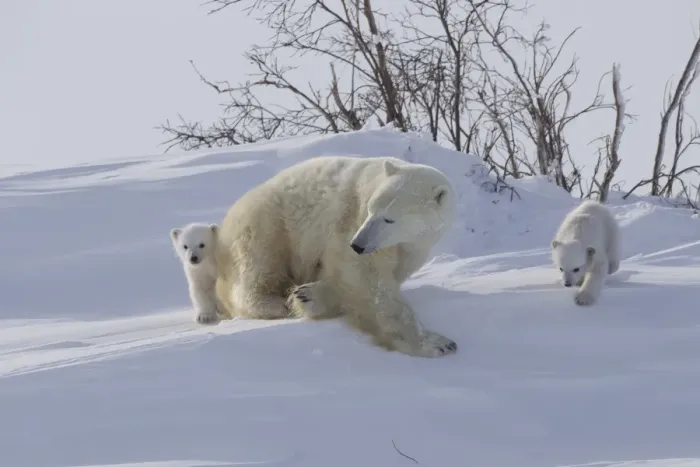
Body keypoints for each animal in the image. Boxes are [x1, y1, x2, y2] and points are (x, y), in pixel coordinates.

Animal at [213, 155, 458, 358]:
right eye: (371, 210)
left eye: (389, 219)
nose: (357, 245)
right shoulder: (353, 221)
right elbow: (365, 279)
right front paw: (438, 343)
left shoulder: (412, 247)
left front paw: (309, 296)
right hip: (268, 221)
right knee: (257, 266)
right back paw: (273, 304)